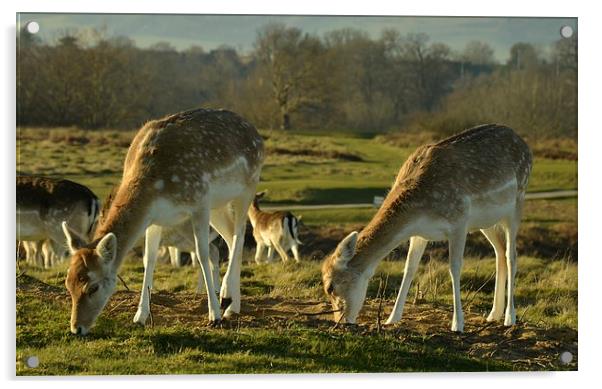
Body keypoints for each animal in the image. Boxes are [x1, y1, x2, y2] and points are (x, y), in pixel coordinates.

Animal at [61, 108, 264, 334]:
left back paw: (226, 297)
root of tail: (255, 131)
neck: (155, 186)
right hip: (218, 205)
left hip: (247, 187)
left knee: (239, 234)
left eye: (93, 286)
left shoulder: (200, 201)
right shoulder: (155, 219)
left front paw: (214, 316)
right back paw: (232, 306)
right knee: (230, 236)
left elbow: (202, 254)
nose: (76, 328)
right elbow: (148, 259)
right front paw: (140, 316)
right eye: (68, 283)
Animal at [322, 124, 528, 330]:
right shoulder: (419, 233)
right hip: (485, 221)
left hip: (517, 201)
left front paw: (457, 324)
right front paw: (392, 319)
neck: (420, 208)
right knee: (500, 251)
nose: (339, 322)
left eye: (330, 287)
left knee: (511, 255)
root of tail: (523, 143)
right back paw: (494, 314)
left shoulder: (459, 220)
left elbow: (454, 267)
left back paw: (510, 317)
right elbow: (409, 268)